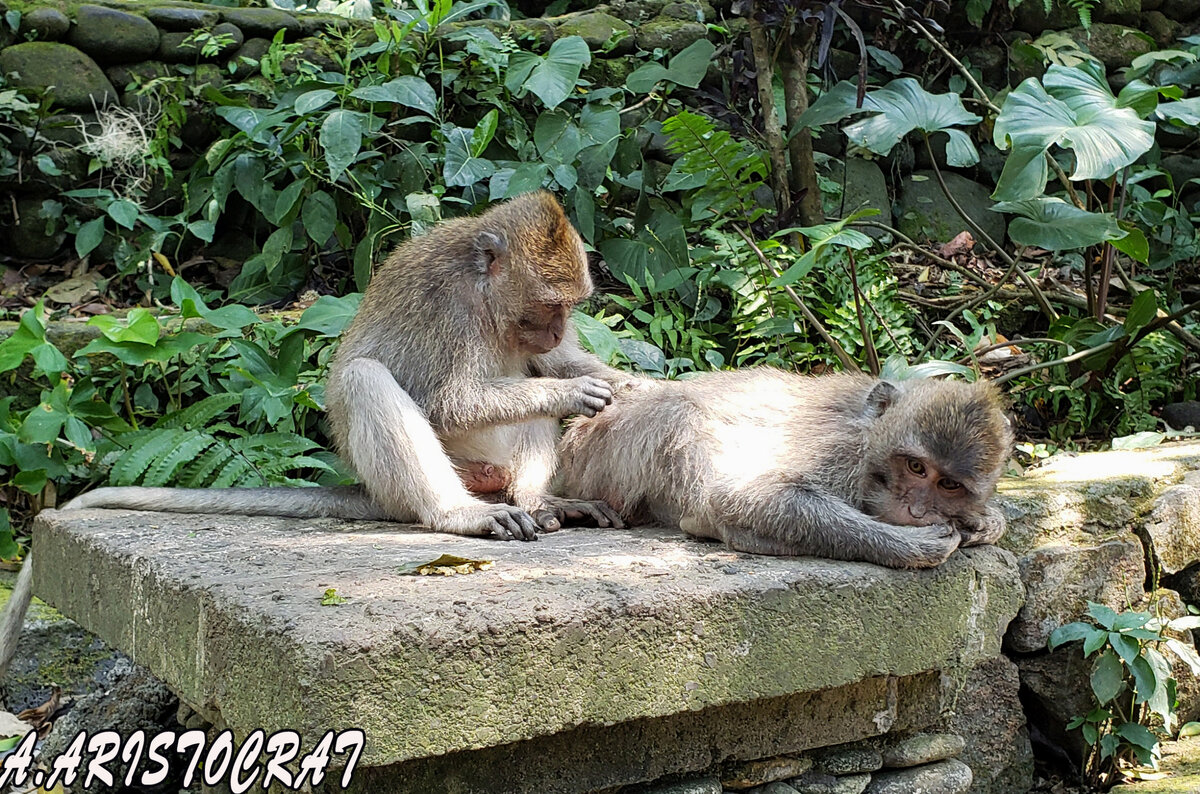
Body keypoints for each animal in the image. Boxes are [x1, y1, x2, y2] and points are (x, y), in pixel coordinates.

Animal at [556, 369, 1008, 568]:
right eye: (916, 467)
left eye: (948, 484)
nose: (915, 510)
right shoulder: (840, 453)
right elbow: (742, 495)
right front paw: (912, 546)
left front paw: (986, 521)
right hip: (609, 448)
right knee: (680, 413)